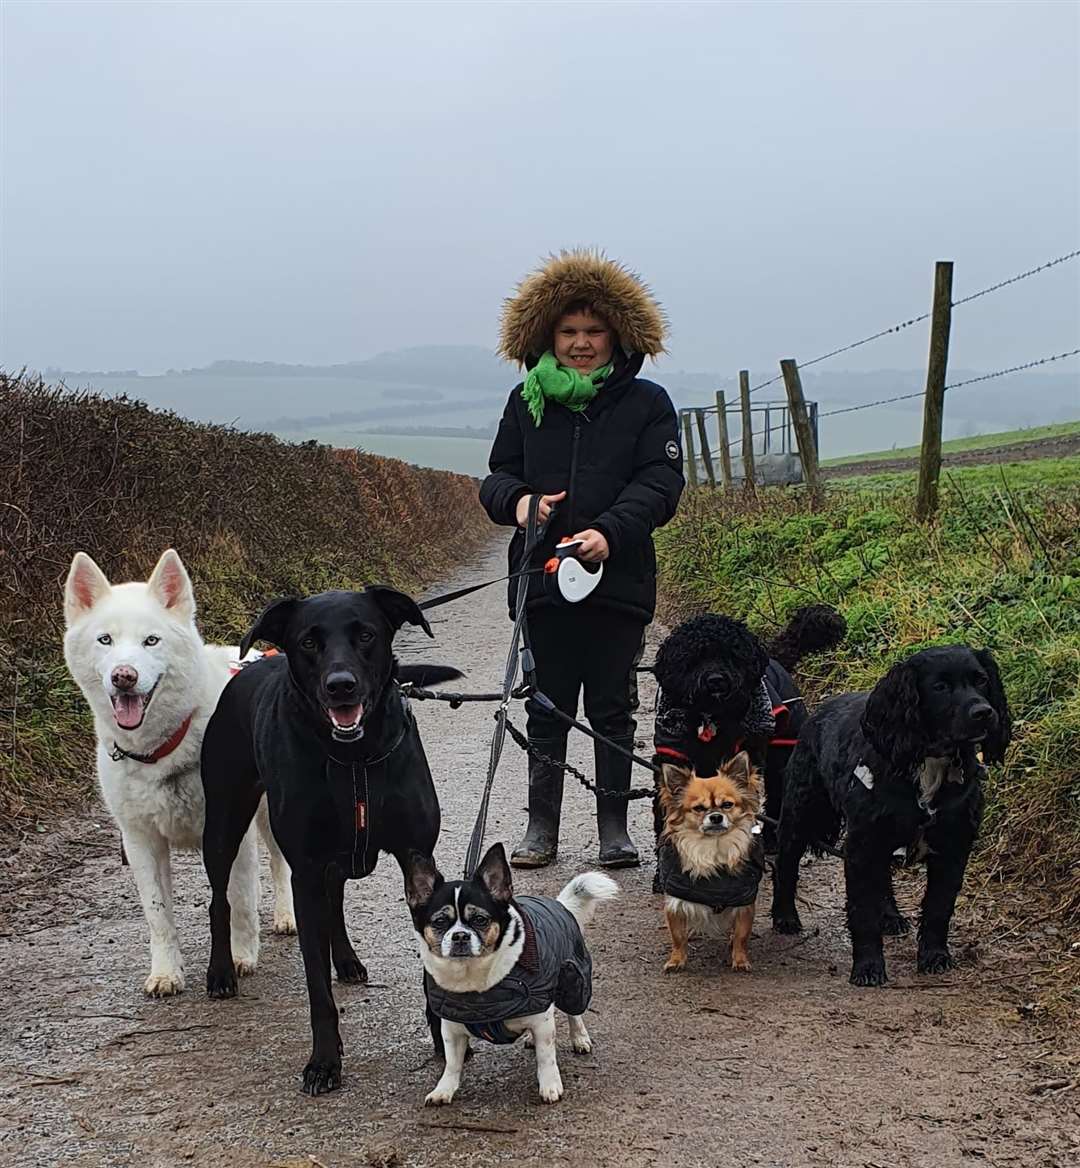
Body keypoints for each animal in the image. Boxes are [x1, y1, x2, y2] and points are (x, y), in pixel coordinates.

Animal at [66, 546, 295, 995]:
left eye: (151, 640)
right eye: (105, 640)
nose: (124, 676)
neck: (162, 749)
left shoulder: (232, 833)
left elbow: (238, 900)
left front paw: (240, 956)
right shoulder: (141, 843)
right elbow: (158, 916)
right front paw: (166, 972)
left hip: (271, 816)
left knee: (282, 865)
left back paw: (286, 916)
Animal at [198, 588, 460, 1097]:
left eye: (366, 634)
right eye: (308, 642)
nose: (342, 686)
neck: (354, 756)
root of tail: (251, 667)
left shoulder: (415, 858)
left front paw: (445, 1040)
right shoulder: (305, 872)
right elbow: (316, 986)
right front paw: (323, 1062)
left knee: (334, 902)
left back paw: (348, 959)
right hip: (223, 822)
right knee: (219, 899)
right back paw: (221, 971)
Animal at [765, 644, 1013, 990]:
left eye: (981, 680)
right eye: (940, 686)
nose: (984, 713)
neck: (927, 766)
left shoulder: (953, 847)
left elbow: (938, 908)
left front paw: (934, 956)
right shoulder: (862, 845)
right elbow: (863, 911)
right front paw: (868, 967)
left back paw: (891, 916)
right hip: (799, 815)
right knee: (786, 867)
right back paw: (785, 916)